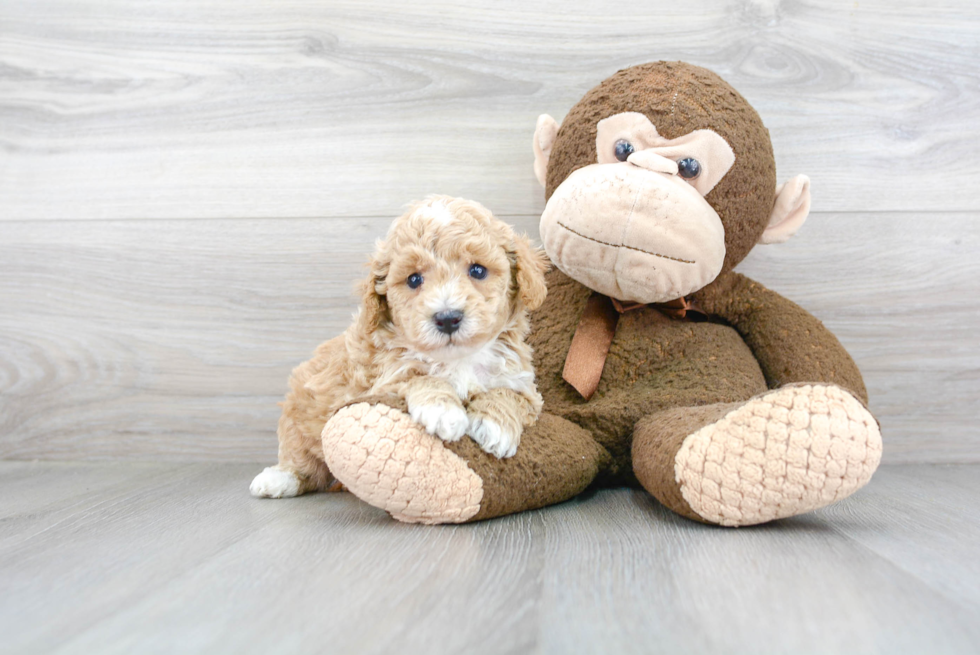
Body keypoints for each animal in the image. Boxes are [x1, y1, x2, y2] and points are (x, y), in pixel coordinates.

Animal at [249, 197, 552, 500]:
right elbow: (420, 377)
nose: (447, 318)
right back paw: (277, 479)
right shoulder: (383, 380)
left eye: (478, 270)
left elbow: (507, 394)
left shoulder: (523, 384)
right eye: (414, 279)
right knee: (302, 461)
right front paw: (443, 411)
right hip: (299, 415)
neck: (458, 360)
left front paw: (495, 426)